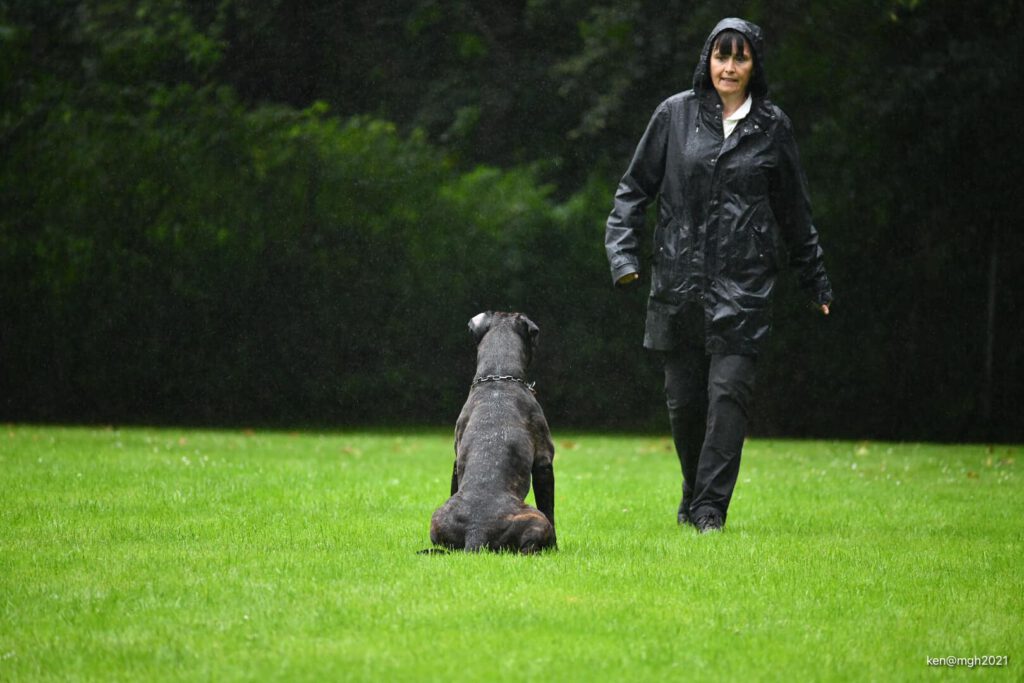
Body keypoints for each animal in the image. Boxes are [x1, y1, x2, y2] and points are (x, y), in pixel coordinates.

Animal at [425, 313, 557, 552]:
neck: (498, 376)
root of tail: (476, 531)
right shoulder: (544, 461)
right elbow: (550, 508)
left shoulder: (456, 460)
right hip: (535, 519)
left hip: (437, 518)